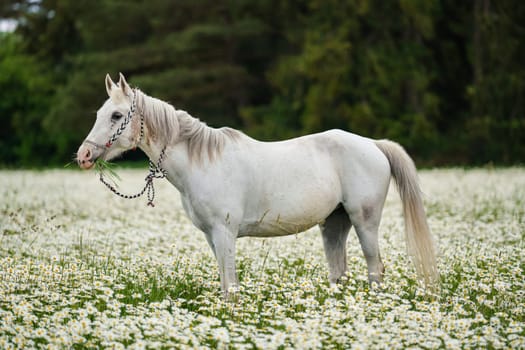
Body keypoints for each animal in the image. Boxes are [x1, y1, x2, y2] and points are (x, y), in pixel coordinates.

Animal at [77, 73, 438, 296]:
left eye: (116, 115)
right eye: (99, 112)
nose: (84, 155)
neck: (202, 161)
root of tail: (374, 145)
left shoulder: (225, 232)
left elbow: (231, 285)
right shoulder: (211, 235)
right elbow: (225, 280)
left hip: (365, 221)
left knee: (375, 268)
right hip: (335, 223)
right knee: (340, 272)